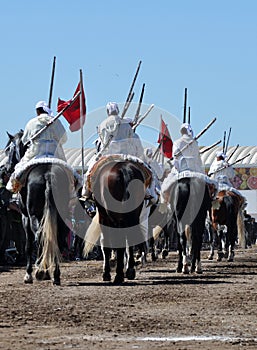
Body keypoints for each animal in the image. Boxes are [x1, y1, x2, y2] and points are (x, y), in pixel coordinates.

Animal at [3, 131, 78, 284]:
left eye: (8, 149)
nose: (6, 168)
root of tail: (48, 175)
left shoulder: (25, 217)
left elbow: (28, 245)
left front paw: (29, 273)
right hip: (62, 216)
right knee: (58, 238)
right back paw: (55, 274)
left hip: (34, 216)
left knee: (40, 236)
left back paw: (41, 271)